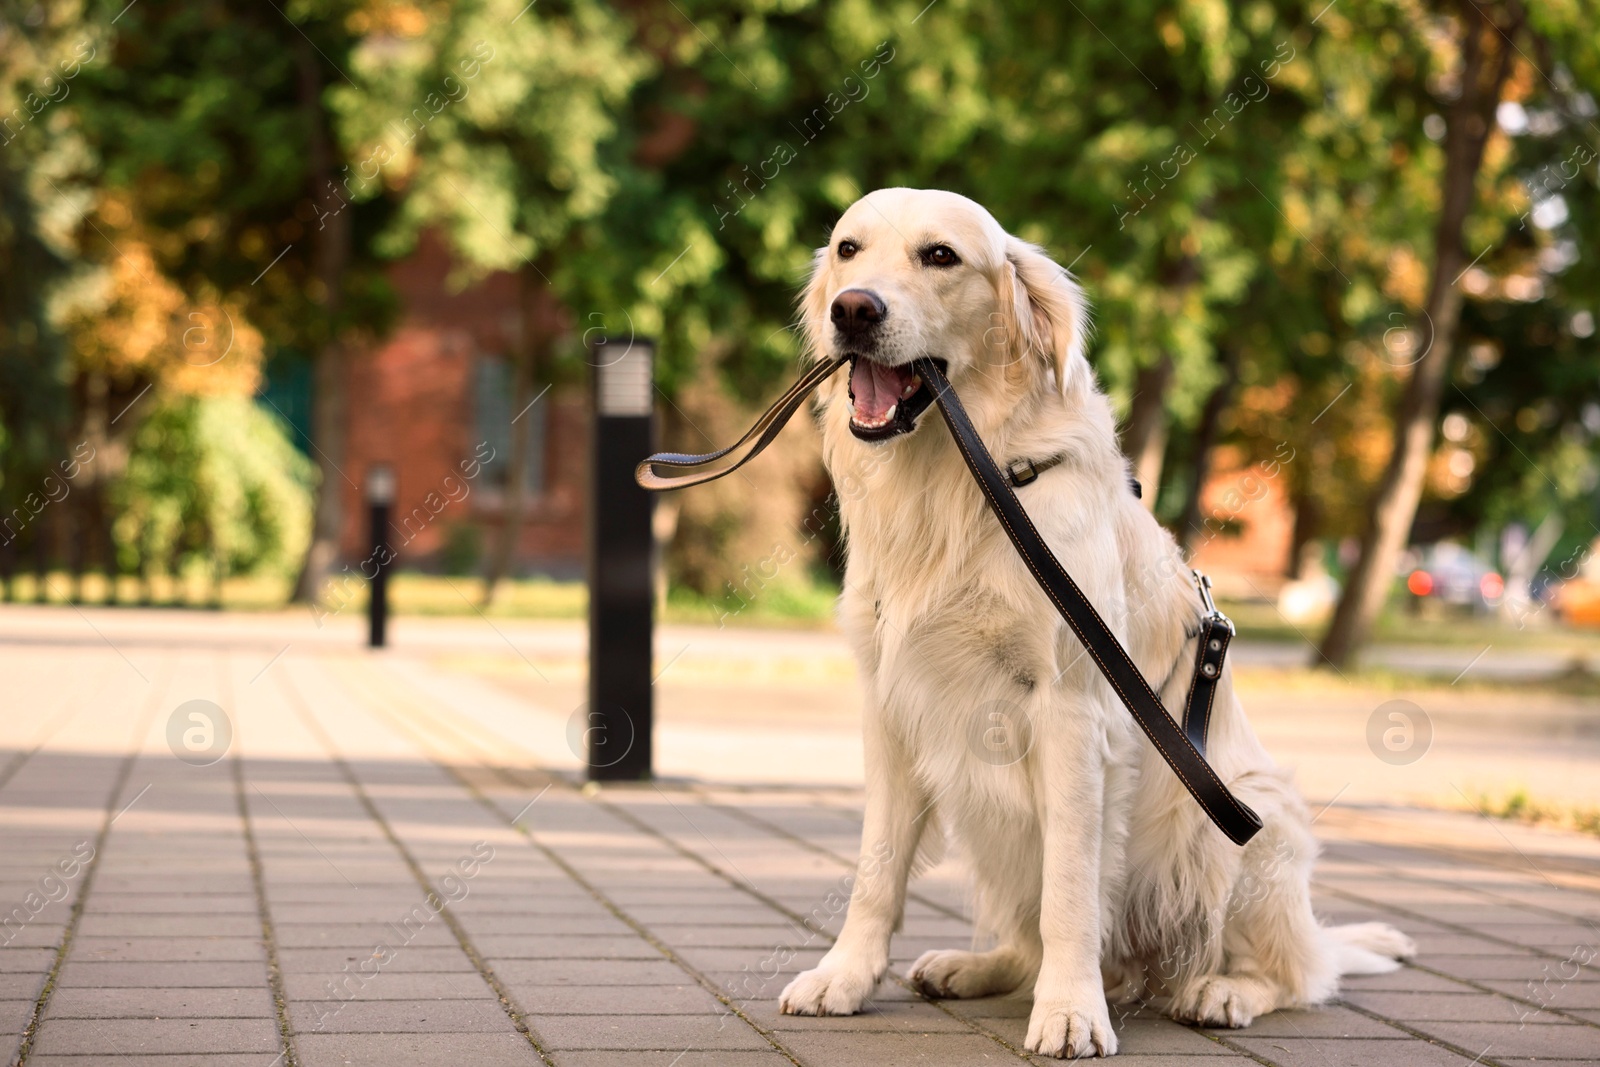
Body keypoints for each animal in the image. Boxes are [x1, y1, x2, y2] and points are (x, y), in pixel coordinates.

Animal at [774, 189, 1414, 1062]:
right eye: (848, 248)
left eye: (940, 256)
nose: (854, 309)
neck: (963, 480)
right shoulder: (893, 704)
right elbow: (877, 868)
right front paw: (844, 975)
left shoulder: (1073, 709)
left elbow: (1072, 887)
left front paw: (1072, 1011)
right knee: (1029, 937)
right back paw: (970, 965)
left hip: (1238, 818)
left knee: (1298, 975)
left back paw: (1221, 990)